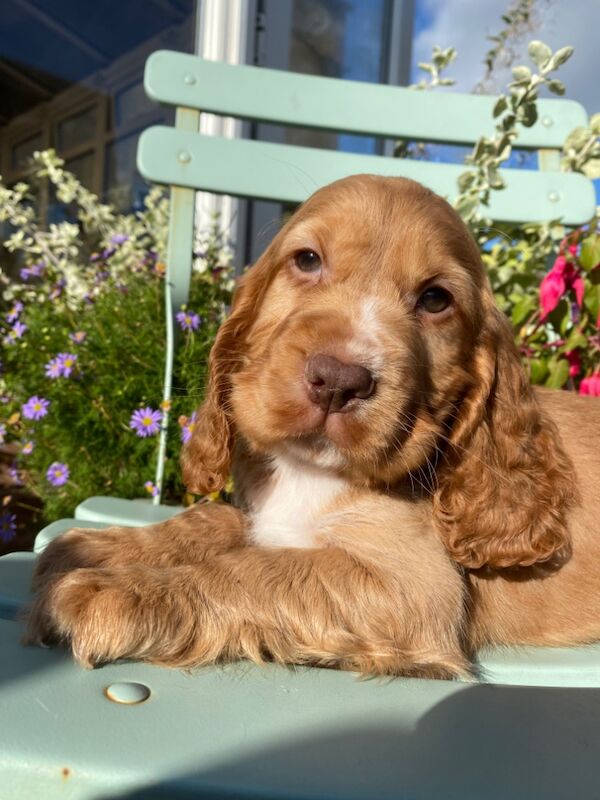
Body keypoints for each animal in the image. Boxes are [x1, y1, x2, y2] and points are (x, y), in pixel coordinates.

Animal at [25, 178, 600, 680]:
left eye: (436, 299)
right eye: (307, 260)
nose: (338, 381)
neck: (310, 472)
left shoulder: (414, 589)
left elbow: (257, 570)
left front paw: (119, 591)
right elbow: (214, 519)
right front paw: (103, 549)